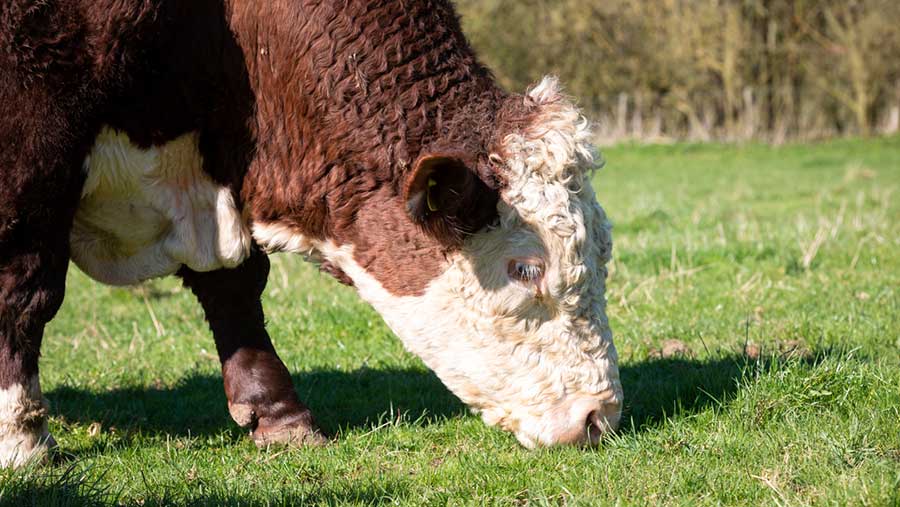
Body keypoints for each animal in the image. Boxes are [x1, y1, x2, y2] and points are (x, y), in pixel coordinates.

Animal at [0, 0, 622, 467]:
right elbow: (25, 291)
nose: (600, 417)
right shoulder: (30, 139)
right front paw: (22, 441)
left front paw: (280, 416)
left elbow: (234, 288)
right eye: (526, 268)